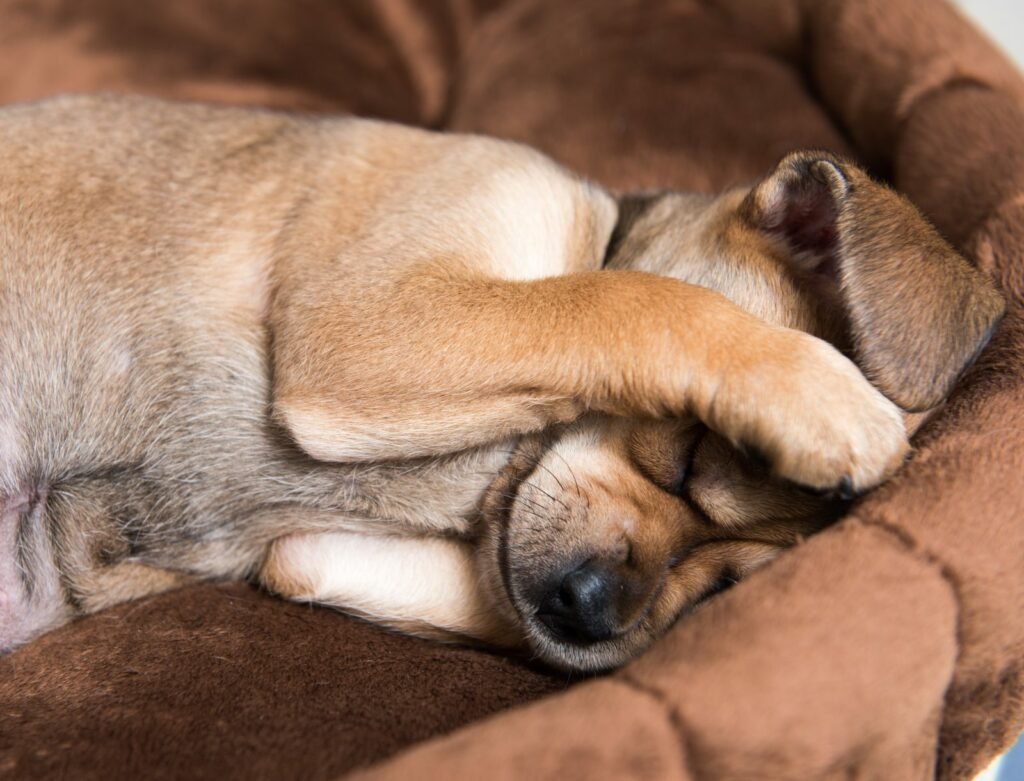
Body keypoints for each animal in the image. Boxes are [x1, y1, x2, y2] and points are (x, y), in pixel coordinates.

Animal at [0, 96, 1003, 671]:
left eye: (728, 586)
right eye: (689, 453)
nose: (593, 614)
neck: (490, 480)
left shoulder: (310, 553)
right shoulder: (365, 324)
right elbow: (624, 298)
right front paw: (819, 393)